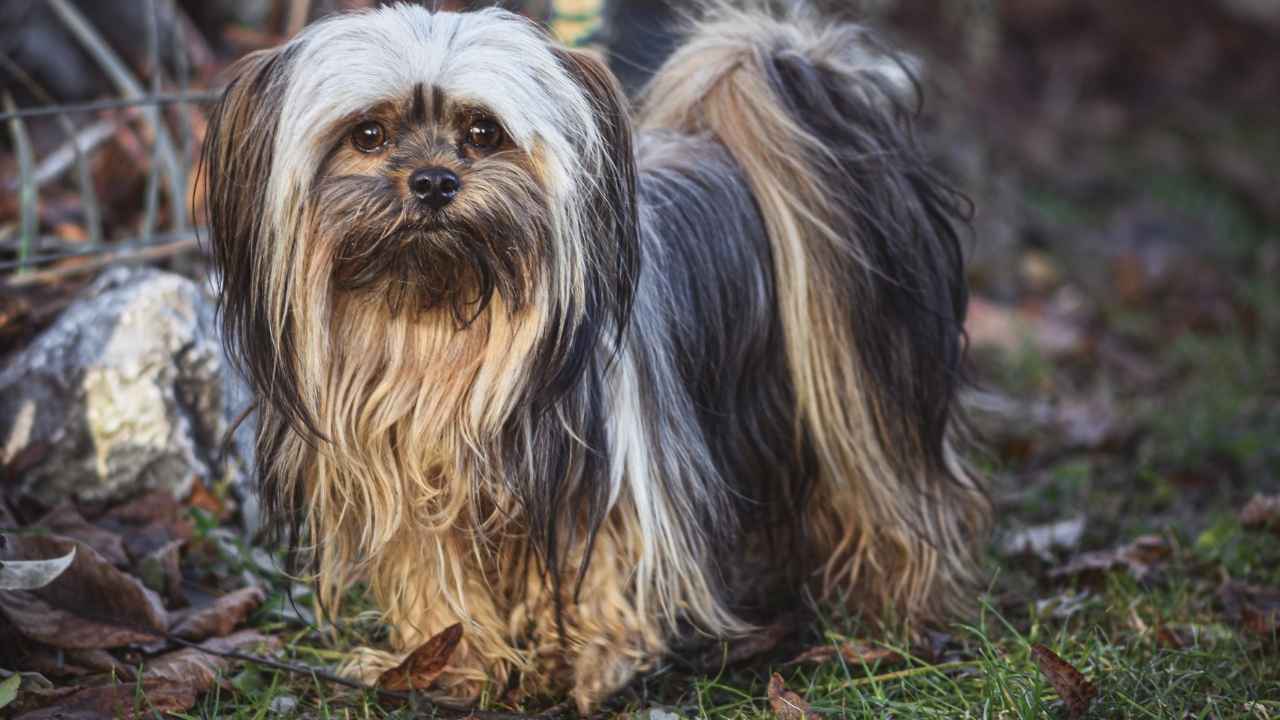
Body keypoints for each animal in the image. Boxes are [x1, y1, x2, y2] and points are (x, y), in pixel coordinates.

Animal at [202, 0, 988, 707]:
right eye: (367, 134)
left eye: (483, 131)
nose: (432, 182)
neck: (440, 324)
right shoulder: (410, 483)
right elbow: (437, 581)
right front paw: (458, 667)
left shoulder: (611, 472)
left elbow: (608, 569)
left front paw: (599, 666)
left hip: (868, 401)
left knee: (892, 500)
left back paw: (895, 613)